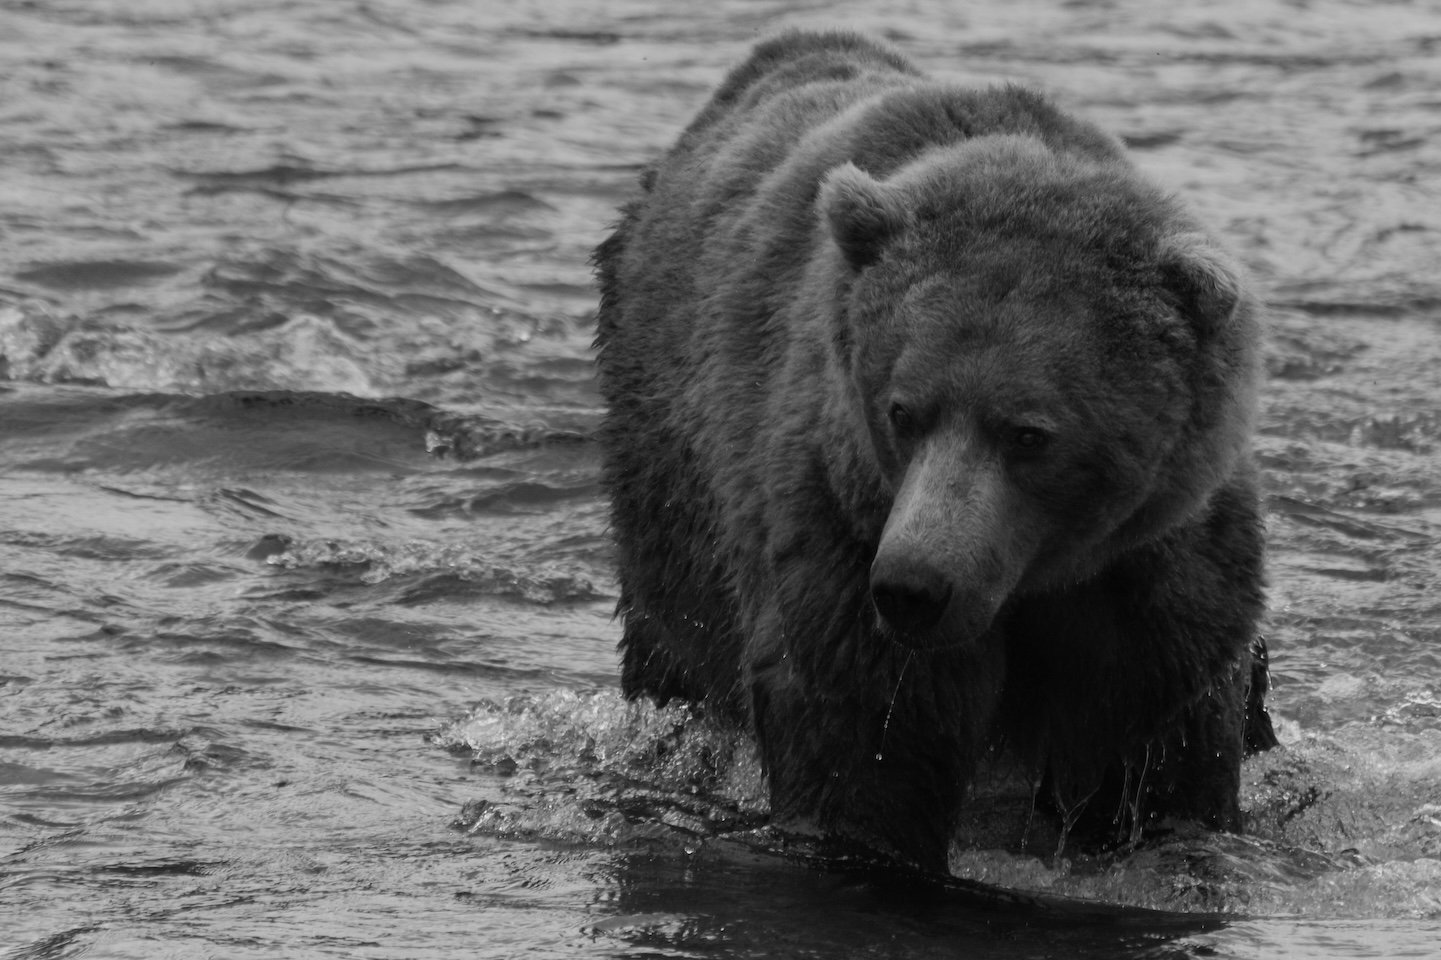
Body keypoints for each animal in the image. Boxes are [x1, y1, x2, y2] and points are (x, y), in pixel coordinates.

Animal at [592, 29, 1274, 873]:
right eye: (902, 411)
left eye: (1028, 433)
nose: (914, 587)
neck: (1032, 582)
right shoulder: (843, 535)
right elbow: (868, 754)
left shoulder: (1154, 587)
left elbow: (1161, 767)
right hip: (668, 486)